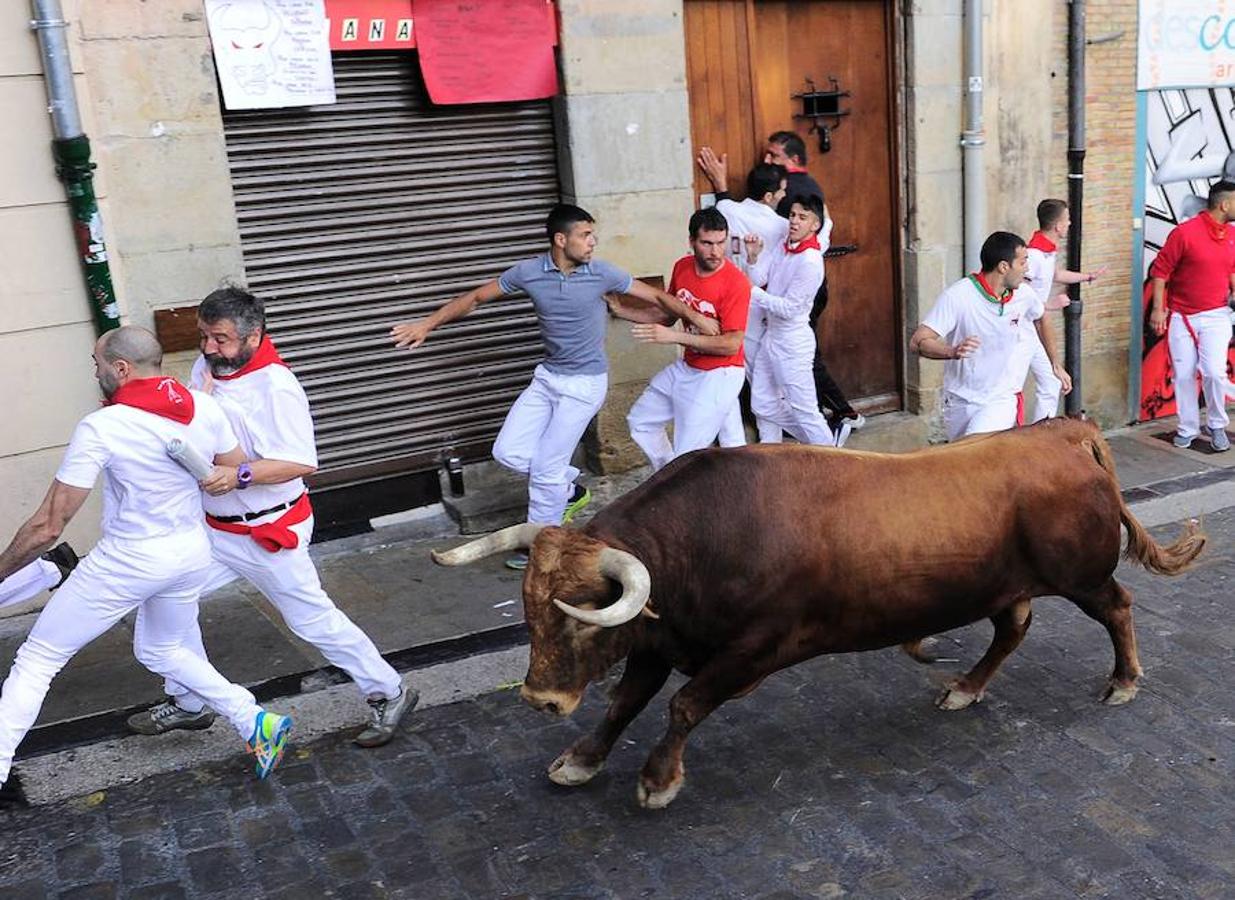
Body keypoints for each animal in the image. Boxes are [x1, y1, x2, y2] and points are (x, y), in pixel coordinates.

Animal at [432, 419, 1195, 809]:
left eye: (581, 615)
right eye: (530, 608)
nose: (539, 698)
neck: (702, 541)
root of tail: (1061, 432)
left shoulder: (755, 649)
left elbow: (682, 707)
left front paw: (656, 779)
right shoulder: (655, 641)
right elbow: (624, 703)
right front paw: (580, 760)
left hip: (1081, 576)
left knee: (1118, 607)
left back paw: (1124, 680)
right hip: (1004, 587)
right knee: (1012, 630)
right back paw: (964, 688)